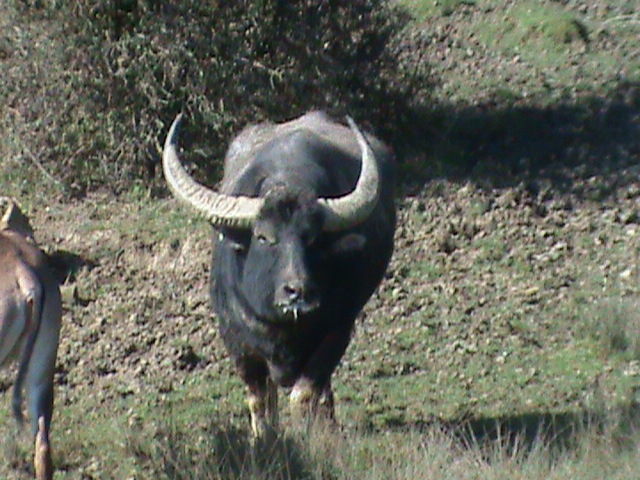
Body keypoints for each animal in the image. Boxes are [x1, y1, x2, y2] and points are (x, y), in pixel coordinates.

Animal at [163, 111, 395, 436]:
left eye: (313, 239)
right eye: (263, 237)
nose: (298, 292)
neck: (283, 329)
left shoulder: (338, 330)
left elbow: (304, 394)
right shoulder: (236, 339)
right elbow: (260, 399)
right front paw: (265, 438)